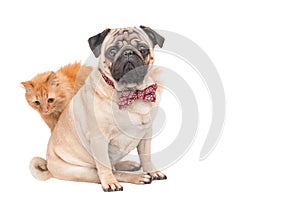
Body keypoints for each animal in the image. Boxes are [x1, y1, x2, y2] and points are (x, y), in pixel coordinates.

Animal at [30, 25, 166, 192]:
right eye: (112, 51)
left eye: (143, 49)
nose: (128, 52)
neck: (130, 93)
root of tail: (49, 166)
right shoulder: (99, 139)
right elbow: (105, 167)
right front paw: (110, 183)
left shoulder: (146, 133)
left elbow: (146, 156)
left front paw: (152, 171)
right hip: (82, 171)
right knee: (110, 170)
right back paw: (136, 177)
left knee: (115, 166)